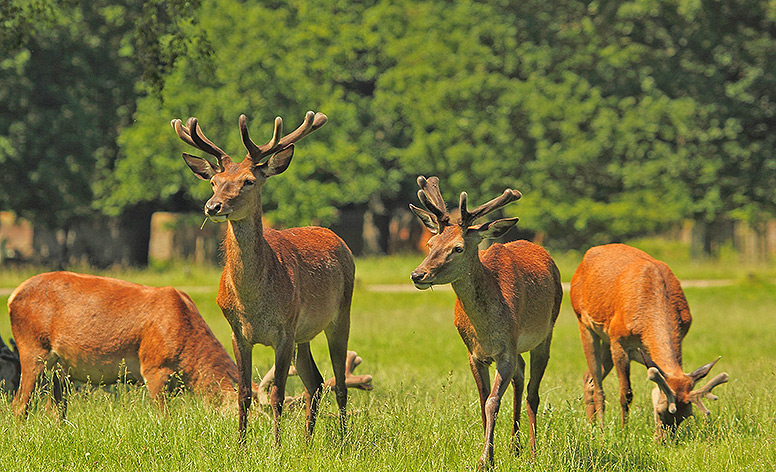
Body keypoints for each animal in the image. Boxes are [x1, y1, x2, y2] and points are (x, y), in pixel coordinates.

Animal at [173, 111, 354, 446]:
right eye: (214, 182)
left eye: (248, 181)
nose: (213, 206)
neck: (253, 303)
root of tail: (335, 237)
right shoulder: (238, 333)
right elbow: (244, 393)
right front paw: (241, 446)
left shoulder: (284, 330)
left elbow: (277, 395)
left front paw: (277, 446)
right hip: (304, 334)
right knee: (315, 382)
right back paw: (308, 442)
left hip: (339, 315)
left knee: (340, 383)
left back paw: (344, 440)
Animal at [410, 177, 560, 468]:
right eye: (431, 244)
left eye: (457, 248)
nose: (418, 274)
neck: (486, 330)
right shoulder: (474, 353)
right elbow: (482, 401)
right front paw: (487, 451)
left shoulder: (506, 351)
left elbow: (492, 402)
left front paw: (485, 460)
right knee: (520, 377)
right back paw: (515, 446)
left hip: (546, 332)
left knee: (533, 392)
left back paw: (533, 452)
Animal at [568, 243, 728, 438]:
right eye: (660, 411)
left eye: (686, 415)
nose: (663, 440)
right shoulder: (619, 340)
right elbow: (626, 392)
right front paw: (624, 432)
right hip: (584, 322)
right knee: (597, 383)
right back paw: (599, 429)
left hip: (606, 340)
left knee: (588, 378)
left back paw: (591, 426)